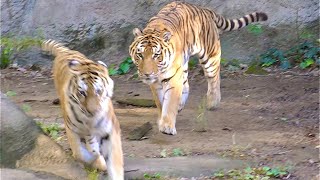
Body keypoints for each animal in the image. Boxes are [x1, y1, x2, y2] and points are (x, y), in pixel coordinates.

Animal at [41, 39, 124, 179]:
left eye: (98, 91)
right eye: (82, 93)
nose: (92, 111)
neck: (90, 120)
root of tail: (66, 51)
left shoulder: (110, 130)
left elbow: (115, 161)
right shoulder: (72, 130)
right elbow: (81, 154)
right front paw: (96, 160)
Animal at [128, 0, 268, 134]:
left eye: (156, 55)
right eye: (140, 54)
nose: (147, 74)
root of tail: (203, 9)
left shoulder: (172, 78)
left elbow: (170, 101)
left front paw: (167, 126)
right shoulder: (156, 83)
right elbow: (161, 102)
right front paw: (162, 118)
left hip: (210, 56)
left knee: (214, 78)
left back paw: (212, 102)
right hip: (184, 65)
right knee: (186, 85)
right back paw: (181, 104)